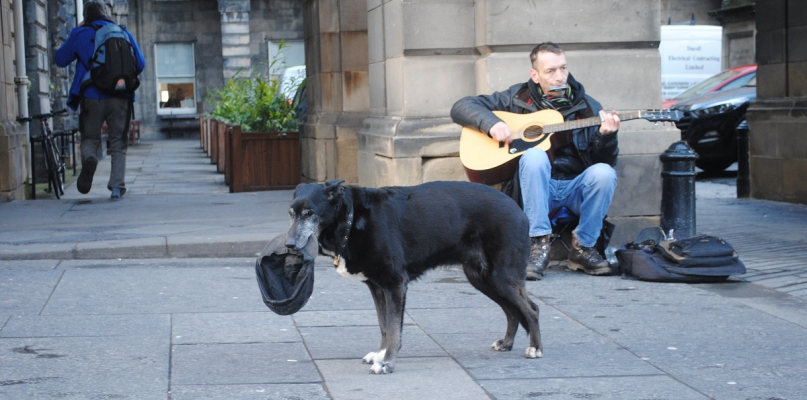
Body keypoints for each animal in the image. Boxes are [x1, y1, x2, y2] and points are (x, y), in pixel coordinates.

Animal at [286, 180, 544, 374]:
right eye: (291, 214)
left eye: (310, 214)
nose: (289, 244)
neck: (351, 218)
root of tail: (518, 208)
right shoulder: (378, 287)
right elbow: (385, 326)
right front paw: (380, 354)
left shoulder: (395, 285)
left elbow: (393, 329)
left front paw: (387, 362)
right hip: (482, 278)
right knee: (512, 310)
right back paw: (507, 343)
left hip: (502, 276)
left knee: (530, 309)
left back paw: (535, 349)